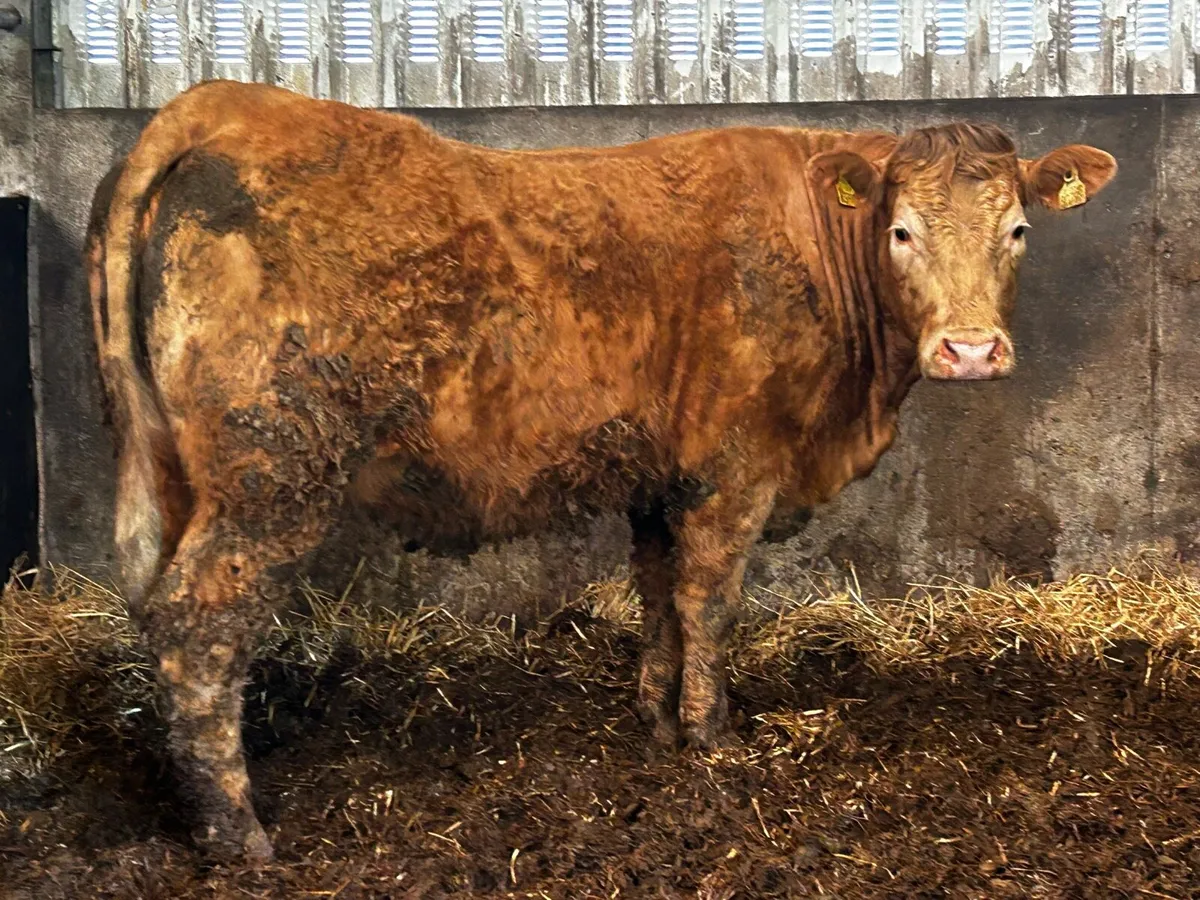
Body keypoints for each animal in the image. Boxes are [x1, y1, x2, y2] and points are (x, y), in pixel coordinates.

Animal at [86, 79, 1117, 860]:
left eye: (1017, 230)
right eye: (902, 231)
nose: (971, 351)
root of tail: (223, 101)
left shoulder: (661, 475)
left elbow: (658, 594)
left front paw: (654, 718)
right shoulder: (735, 465)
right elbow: (710, 600)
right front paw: (711, 733)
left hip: (182, 471)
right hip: (272, 467)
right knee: (199, 622)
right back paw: (239, 835)